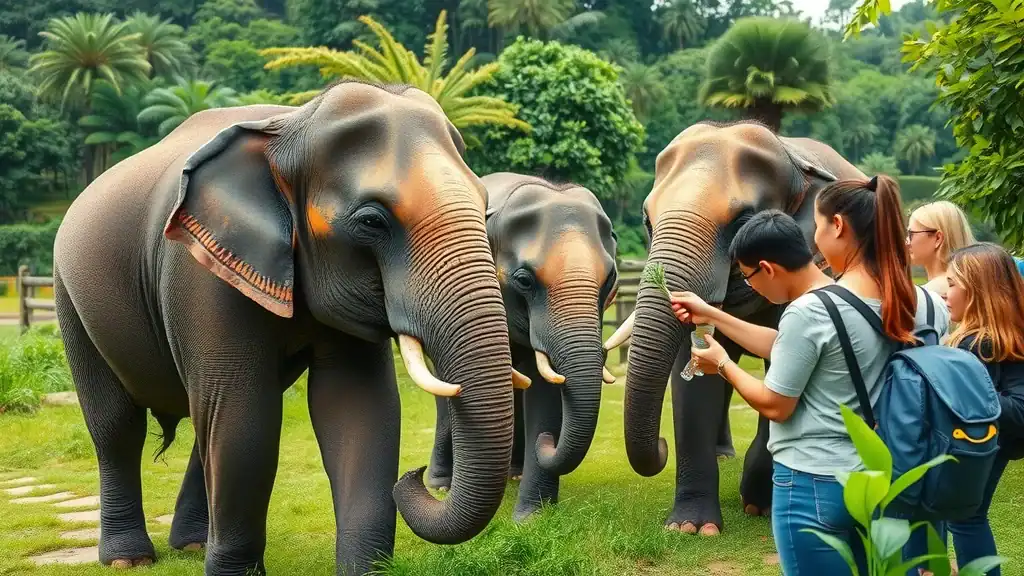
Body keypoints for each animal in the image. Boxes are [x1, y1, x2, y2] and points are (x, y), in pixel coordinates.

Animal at [51, 79, 516, 576]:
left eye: (486, 206)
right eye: (372, 221)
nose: (416, 476)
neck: (292, 123)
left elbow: (360, 407)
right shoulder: (199, 273)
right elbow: (245, 419)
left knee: (203, 423)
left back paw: (192, 545)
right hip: (70, 299)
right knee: (118, 425)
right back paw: (129, 559)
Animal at [425, 172, 619, 521]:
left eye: (609, 280)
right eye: (524, 281)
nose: (548, 443)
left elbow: (542, 389)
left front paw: (531, 517)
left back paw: (513, 474)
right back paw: (441, 485)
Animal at [604, 120, 863, 536]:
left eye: (742, 221)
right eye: (647, 220)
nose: (661, 446)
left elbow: (782, 373)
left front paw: (758, 502)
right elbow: (692, 374)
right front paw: (690, 528)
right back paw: (723, 454)